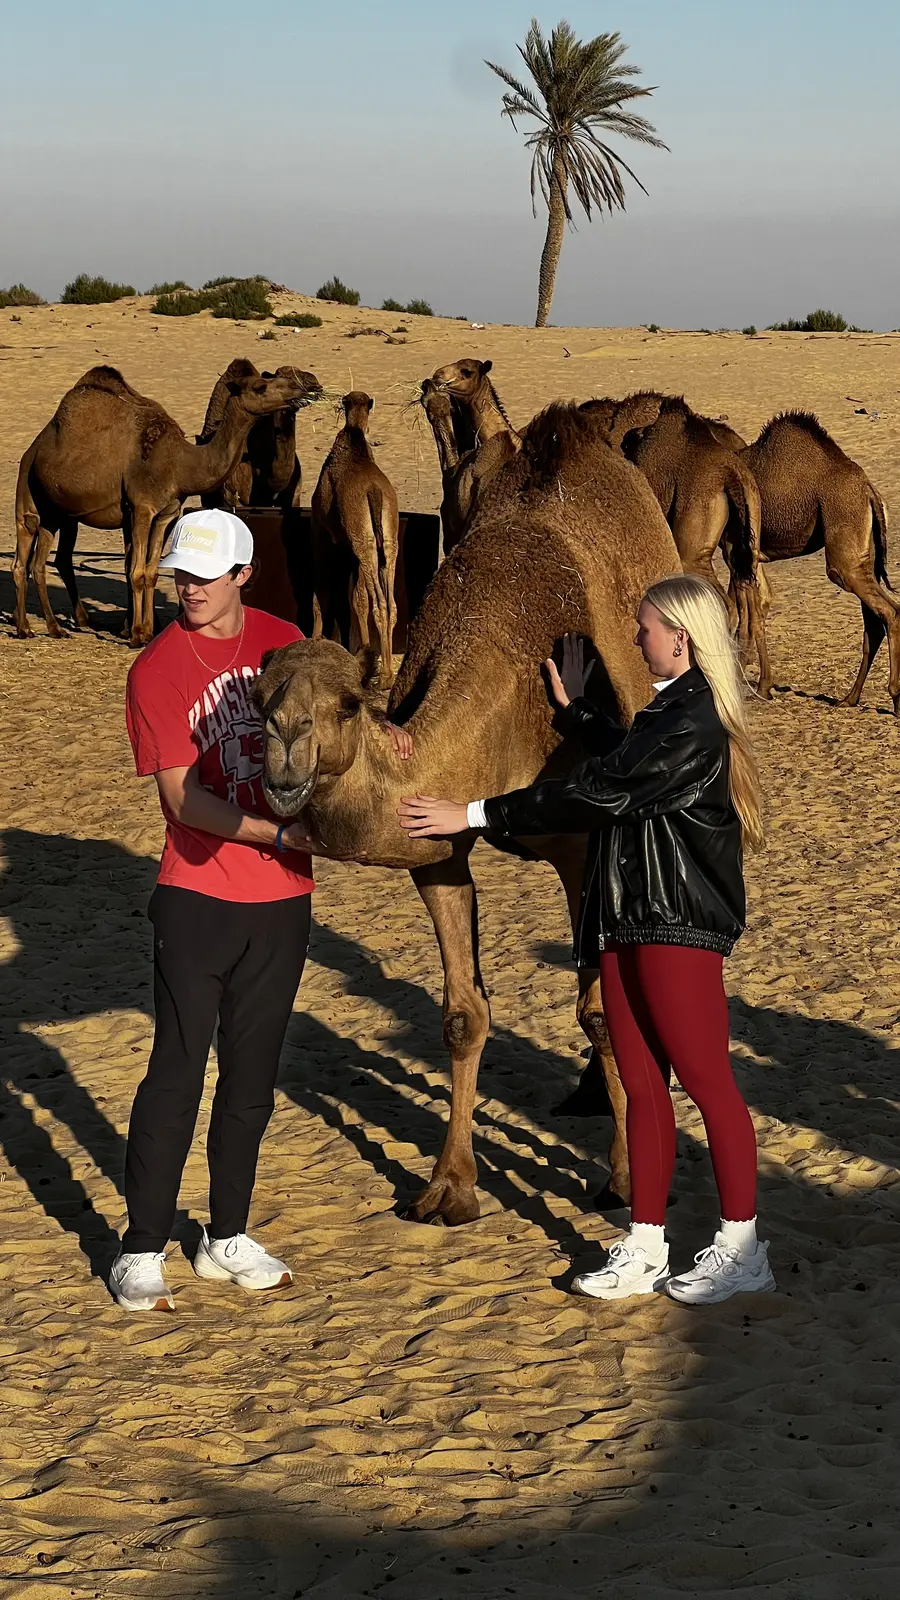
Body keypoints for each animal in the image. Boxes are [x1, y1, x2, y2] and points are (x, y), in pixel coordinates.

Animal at [13, 364, 311, 645]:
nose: (298, 389)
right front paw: (136, 635)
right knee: (24, 552)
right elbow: (136, 571)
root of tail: (34, 447)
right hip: (28, 489)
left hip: (59, 514)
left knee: (42, 563)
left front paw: (148, 631)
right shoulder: (142, 508)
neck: (180, 465)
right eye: (261, 386)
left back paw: (55, 628)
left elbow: (152, 572)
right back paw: (26, 628)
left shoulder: (167, 513)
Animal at [310, 392, 399, 687]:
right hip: (387, 539)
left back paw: (385, 676)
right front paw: (362, 650)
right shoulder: (350, 546)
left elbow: (323, 588)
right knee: (390, 602)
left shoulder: (323, 532)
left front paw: (316, 637)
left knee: (380, 603)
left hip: (364, 543)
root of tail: (374, 491)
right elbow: (358, 597)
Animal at [582, 391, 770, 694]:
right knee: (749, 587)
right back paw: (761, 681)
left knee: (723, 604)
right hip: (744, 533)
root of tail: (730, 473)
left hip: (693, 549)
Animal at [739, 411, 898, 711]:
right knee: (874, 622)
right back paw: (850, 698)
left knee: (888, 611)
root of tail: (870, 490)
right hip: (864, 554)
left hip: (843, 551)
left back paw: (893, 698)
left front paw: (758, 684)